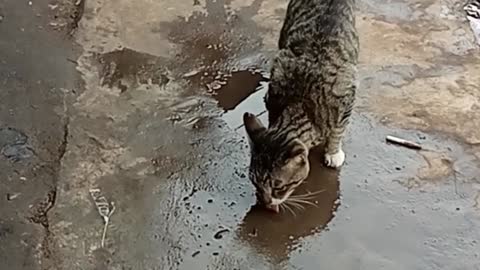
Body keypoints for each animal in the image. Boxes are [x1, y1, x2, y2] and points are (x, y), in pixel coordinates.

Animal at [246, 0, 358, 212]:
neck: (299, 105)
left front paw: (333, 152)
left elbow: (338, 129)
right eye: (254, 182)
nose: (265, 203)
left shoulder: (347, 96)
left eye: (278, 187)